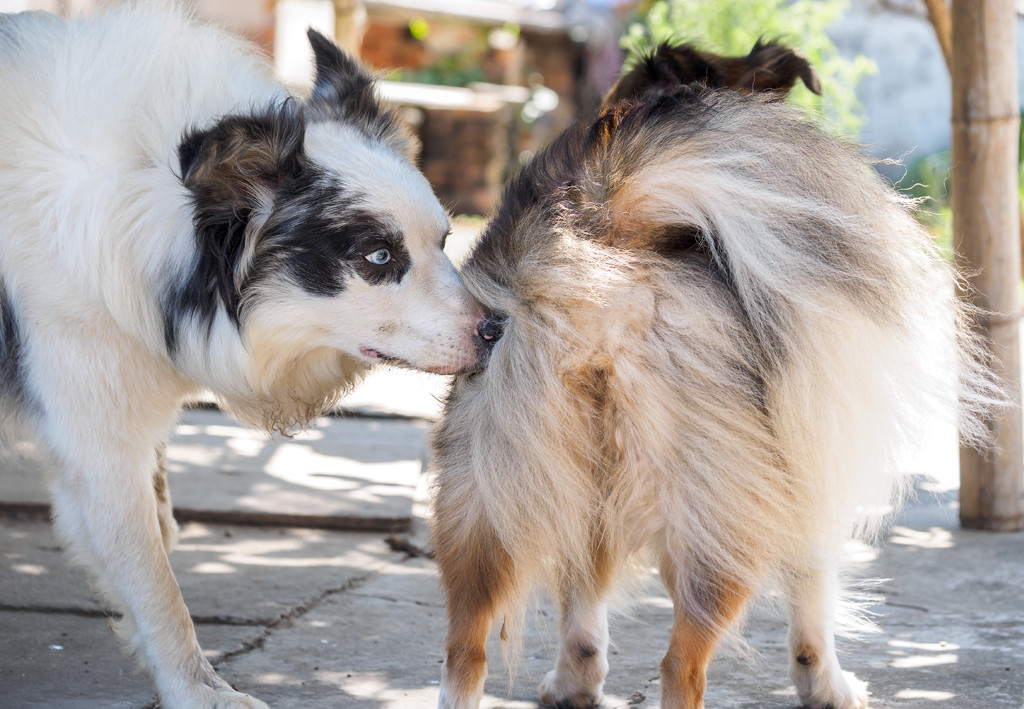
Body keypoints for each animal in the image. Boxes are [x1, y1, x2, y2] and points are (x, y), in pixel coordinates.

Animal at [0, 4, 491, 704]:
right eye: (378, 256)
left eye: (444, 241)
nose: (497, 328)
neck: (149, 210)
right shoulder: (96, 433)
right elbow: (155, 583)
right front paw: (199, 690)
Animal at [425, 43, 999, 709]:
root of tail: (597, 236)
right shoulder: (805, 464)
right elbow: (814, 587)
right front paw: (828, 684)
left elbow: (583, 596)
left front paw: (574, 682)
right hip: (724, 515)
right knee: (681, 664)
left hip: (484, 493)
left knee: (466, 650)